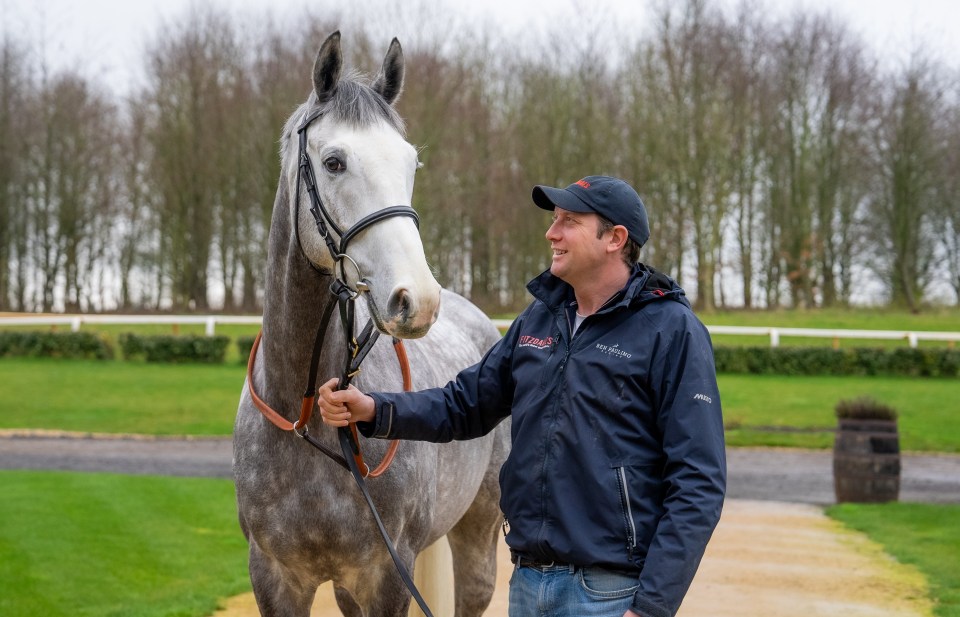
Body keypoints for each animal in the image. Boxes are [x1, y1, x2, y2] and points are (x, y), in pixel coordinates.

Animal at [232, 32, 510, 616]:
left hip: (478, 529)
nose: (416, 299)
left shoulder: (384, 575)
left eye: (410, 163)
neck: (306, 417)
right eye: (334, 161)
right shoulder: (275, 577)